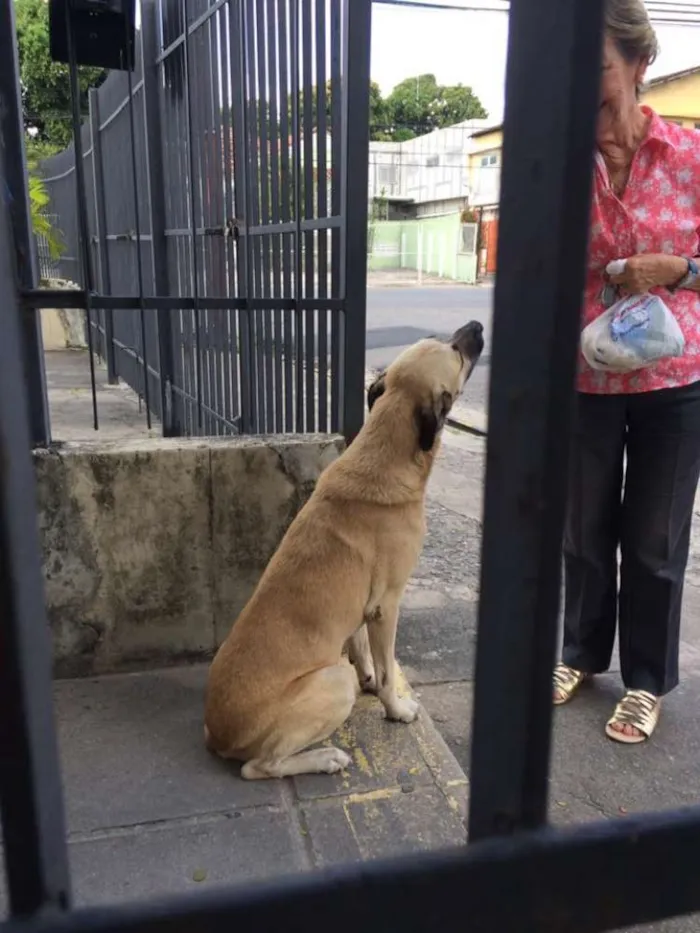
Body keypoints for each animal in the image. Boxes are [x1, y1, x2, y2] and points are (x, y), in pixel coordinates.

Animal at [205, 322, 484, 780]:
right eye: (456, 353)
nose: (476, 327)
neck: (386, 453)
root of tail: (217, 734)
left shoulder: (361, 609)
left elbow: (361, 650)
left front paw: (369, 677)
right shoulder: (386, 607)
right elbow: (387, 672)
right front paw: (396, 709)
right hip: (334, 679)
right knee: (259, 767)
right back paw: (325, 758)